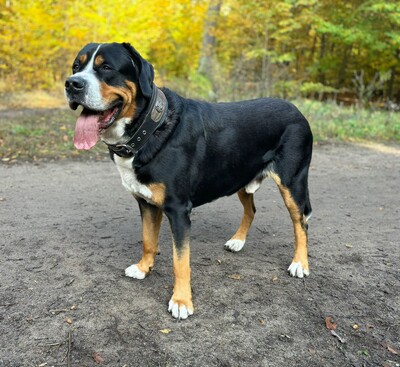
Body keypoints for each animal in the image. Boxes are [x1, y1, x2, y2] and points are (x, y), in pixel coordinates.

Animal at [65, 42, 314, 320]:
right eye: (76, 67)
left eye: (106, 67)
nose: (72, 84)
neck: (151, 128)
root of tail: (296, 110)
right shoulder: (146, 203)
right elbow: (148, 240)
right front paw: (143, 268)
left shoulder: (178, 210)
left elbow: (180, 261)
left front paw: (182, 301)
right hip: (240, 177)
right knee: (251, 209)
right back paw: (238, 241)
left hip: (292, 183)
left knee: (301, 224)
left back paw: (299, 263)